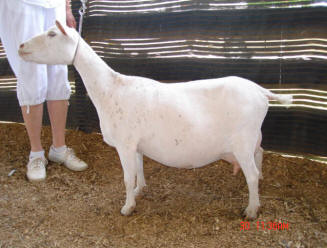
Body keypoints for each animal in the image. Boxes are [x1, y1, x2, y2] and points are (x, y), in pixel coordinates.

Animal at [19, 21, 294, 219]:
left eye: (52, 34)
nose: (21, 46)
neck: (111, 89)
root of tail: (261, 92)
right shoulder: (136, 144)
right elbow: (139, 168)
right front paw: (139, 191)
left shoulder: (125, 143)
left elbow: (127, 177)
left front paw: (127, 207)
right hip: (251, 138)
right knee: (260, 155)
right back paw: (259, 187)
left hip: (242, 140)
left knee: (251, 172)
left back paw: (251, 210)